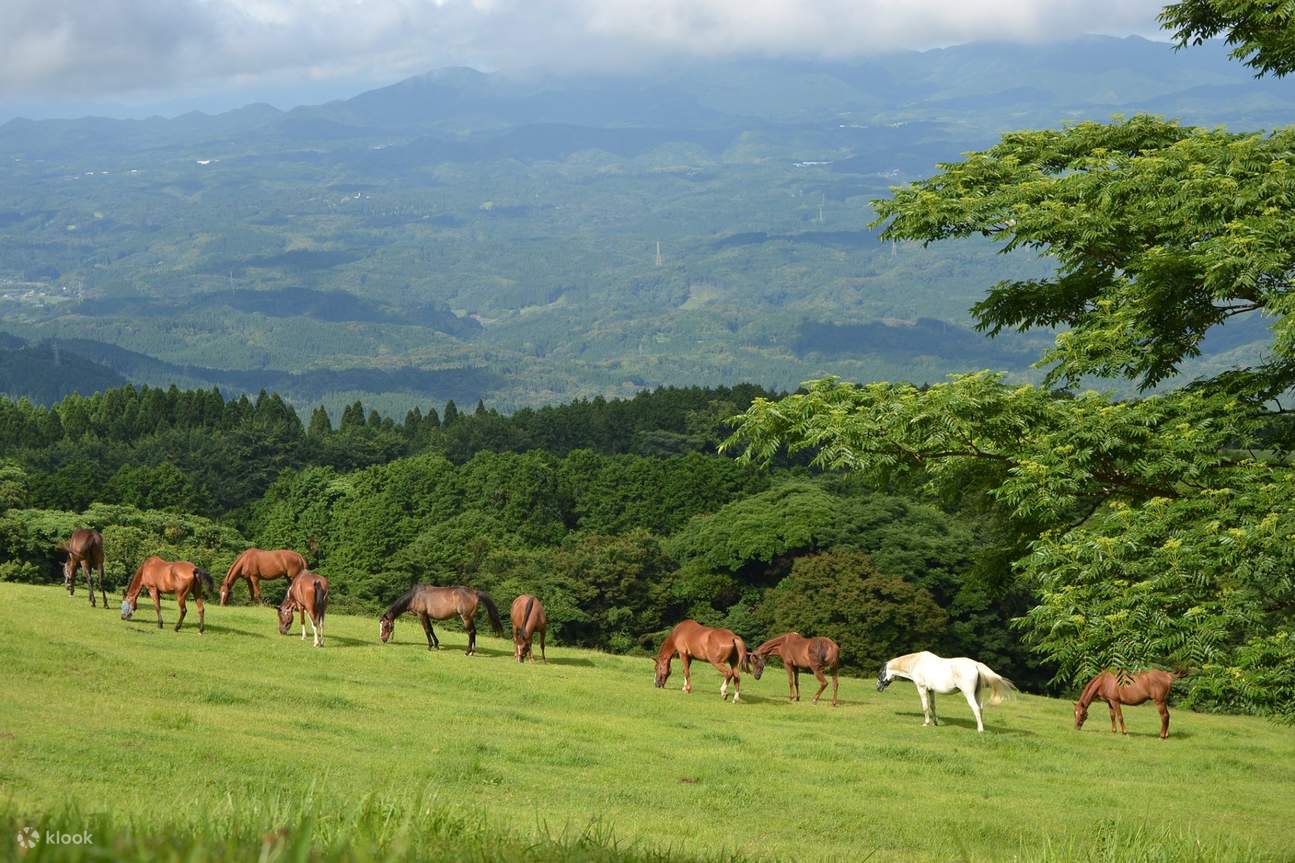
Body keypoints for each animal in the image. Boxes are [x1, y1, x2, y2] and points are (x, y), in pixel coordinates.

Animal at [877, 651, 1016, 733]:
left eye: (880, 673)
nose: (878, 688)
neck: (916, 663)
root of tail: (976, 665)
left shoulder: (922, 688)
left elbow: (925, 706)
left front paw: (926, 723)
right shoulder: (931, 690)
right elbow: (932, 706)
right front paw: (935, 723)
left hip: (969, 694)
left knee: (976, 708)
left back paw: (980, 730)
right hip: (978, 693)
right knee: (980, 708)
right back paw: (981, 727)